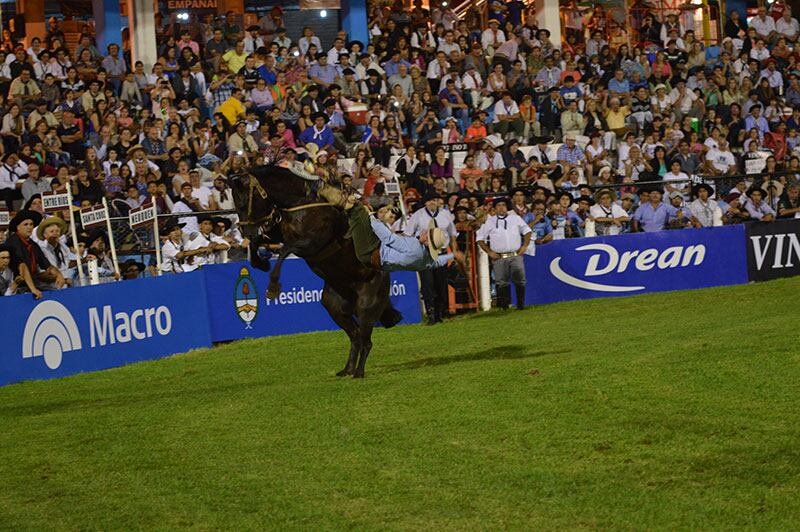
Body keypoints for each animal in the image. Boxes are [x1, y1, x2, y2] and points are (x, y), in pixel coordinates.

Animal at [228, 164, 404, 376]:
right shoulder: (280, 235)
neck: (302, 203)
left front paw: (273, 287)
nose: (246, 233)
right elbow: (261, 244)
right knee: (355, 336)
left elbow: (286, 250)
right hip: (334, 306)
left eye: (244, 203)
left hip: (366, 305)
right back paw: (347, 370)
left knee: (365, 340)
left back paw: (359, 372)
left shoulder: (312, 243)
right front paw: (261, 262)